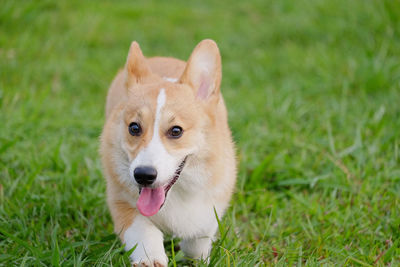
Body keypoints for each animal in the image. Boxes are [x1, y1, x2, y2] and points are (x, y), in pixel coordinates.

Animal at [100, 40, 236, 267]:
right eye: (134, 128)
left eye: (176, 131)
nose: (143, 175)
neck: (176, 193)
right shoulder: (121, 201)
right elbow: (143, 231)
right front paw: (150, 257)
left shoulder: (211, 204)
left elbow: (198, 240)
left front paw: (197, 258)